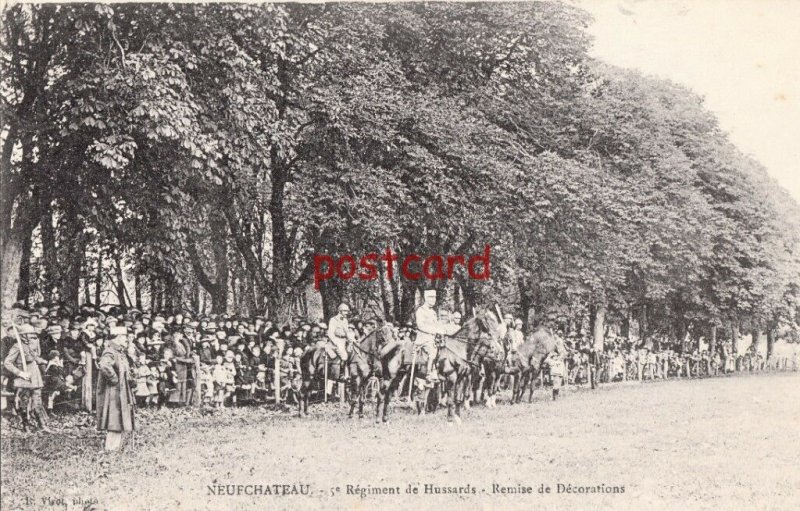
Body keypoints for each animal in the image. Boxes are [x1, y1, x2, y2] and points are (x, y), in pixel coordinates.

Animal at [376, 308, 506, 424]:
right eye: (489, 333)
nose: (501, 353)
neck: (458, 349)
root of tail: (387, 347)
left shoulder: (462, 378)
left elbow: (458, 399)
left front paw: (458, 419)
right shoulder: (451, 378)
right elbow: (450, 400)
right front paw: (450, 420)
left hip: (398, 377)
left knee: (387, 395)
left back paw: (385, 419)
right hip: (389, 377)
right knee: (381, 394)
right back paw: (378, 420)